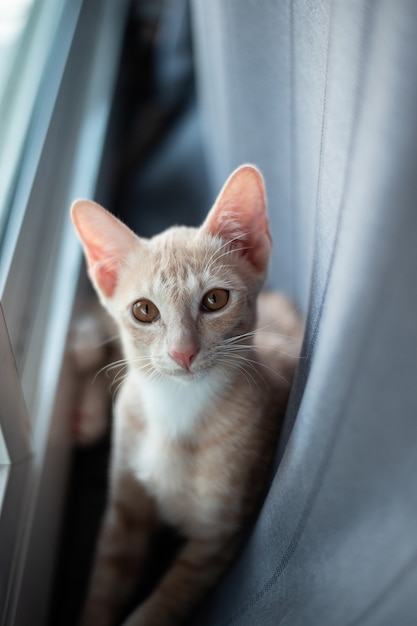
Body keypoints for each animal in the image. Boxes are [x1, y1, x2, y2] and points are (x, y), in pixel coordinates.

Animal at [70, 163, 300, 620]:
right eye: (144, 310)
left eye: (215, 299)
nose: (183, 352)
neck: (174, 410)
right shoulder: (123, 514)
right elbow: (102, 589)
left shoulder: (216, 541)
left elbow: (157, 608)